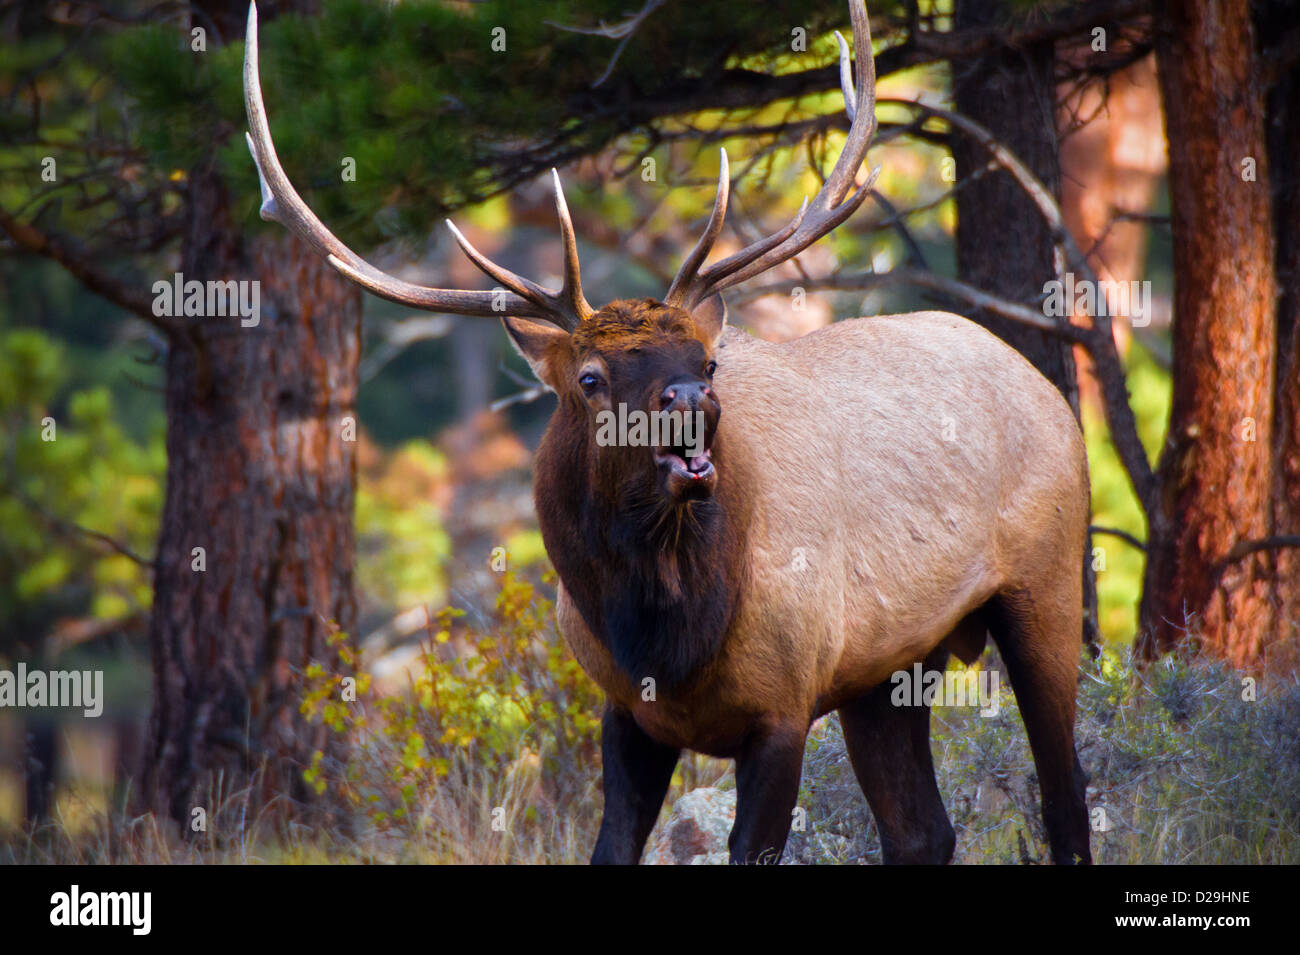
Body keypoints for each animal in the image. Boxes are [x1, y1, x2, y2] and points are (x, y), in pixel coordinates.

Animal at [243, 0, 1092, 865]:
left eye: (708, 359)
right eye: (589, 378)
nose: (692, 399)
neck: (666, 637)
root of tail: (1044, 386)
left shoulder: (784, 703)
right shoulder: (626, 713)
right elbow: (611, 846)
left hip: (1047, 580)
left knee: (1064, 797)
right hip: (891, 668)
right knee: (923, 830)